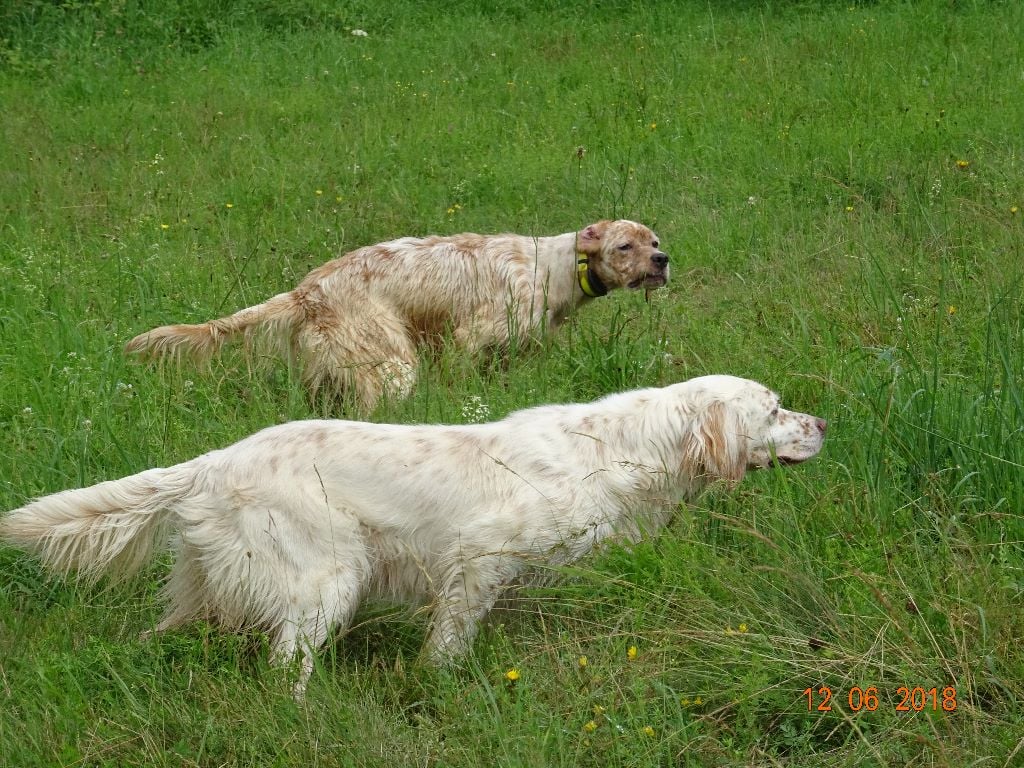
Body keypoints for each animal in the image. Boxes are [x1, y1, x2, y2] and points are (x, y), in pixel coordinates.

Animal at [0, 376, 823, 696]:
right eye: (775, 409)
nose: (822, 423)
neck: (624, 449)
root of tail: (214, 460)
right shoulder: (477, 560)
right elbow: (450, 644)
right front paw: (439, 683)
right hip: (327, 580)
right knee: (287, 668)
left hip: (211, 588)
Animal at [125, 219, 671, 411]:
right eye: (626, 246)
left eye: (655, 241)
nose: (664, 260)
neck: (553, 267)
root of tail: (305, 291)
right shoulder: (471, 339)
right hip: (392, 364)